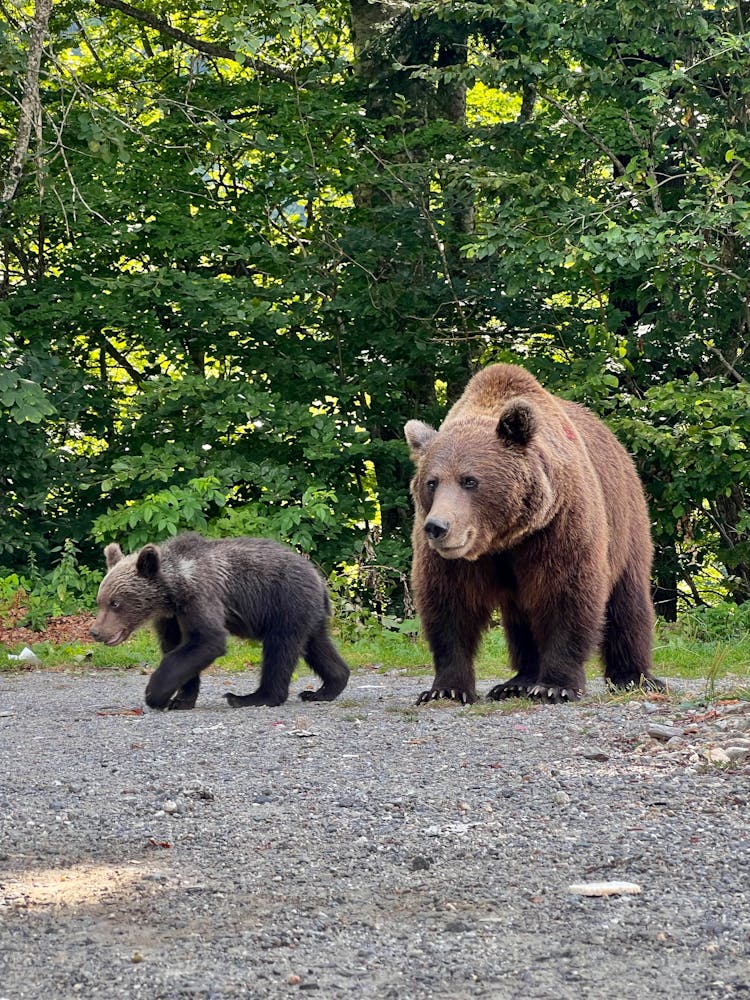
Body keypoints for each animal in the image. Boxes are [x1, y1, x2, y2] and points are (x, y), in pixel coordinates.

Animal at [91, 536, 352, 708]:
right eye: (100, 601)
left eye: (116, 603)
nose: (95, 632)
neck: (173, 591)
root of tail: (319, 578)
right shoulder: (171, 617)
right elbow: (178, 648)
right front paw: (181, 698)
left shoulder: (201, 596)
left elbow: (207, 640)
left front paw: (155, 694)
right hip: (307, 613)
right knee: (316, 645)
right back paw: (324, 689)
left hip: (285, 603)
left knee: (280, 649)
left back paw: (250, 697)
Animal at [406, 366, 664, 704]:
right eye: (432, 482)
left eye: (470, 480)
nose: (438, 527)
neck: (504, 538)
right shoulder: (455, 559)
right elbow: (449, 605)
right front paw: (446, 689)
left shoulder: (558, 526)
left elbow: (567, 594)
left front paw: (556, 686)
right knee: (522, 618)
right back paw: (516, 682)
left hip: (625, 523)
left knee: (627, 603)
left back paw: (635, 677)